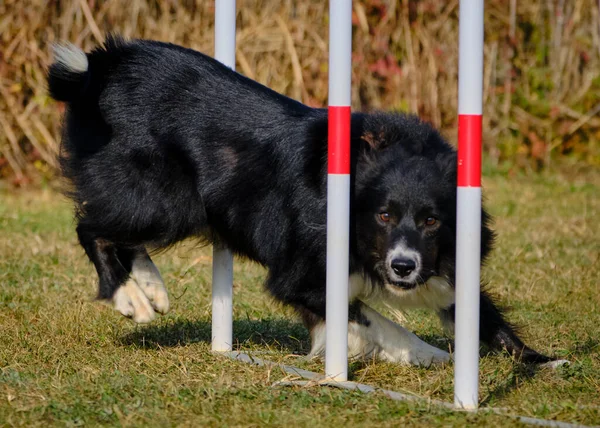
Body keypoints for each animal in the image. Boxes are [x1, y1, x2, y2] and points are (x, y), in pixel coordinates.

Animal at [49, 36, 552, 364]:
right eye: (384, 216)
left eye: (432, 221)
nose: (403, 267)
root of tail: (100, 66)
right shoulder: (302, 273)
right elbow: (377, 321)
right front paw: (429, 355)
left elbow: (478, 310)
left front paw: (540, 362)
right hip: (168, 199)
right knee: (90, 226)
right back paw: (130, 296)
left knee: (111, 224)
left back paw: (151, 286)